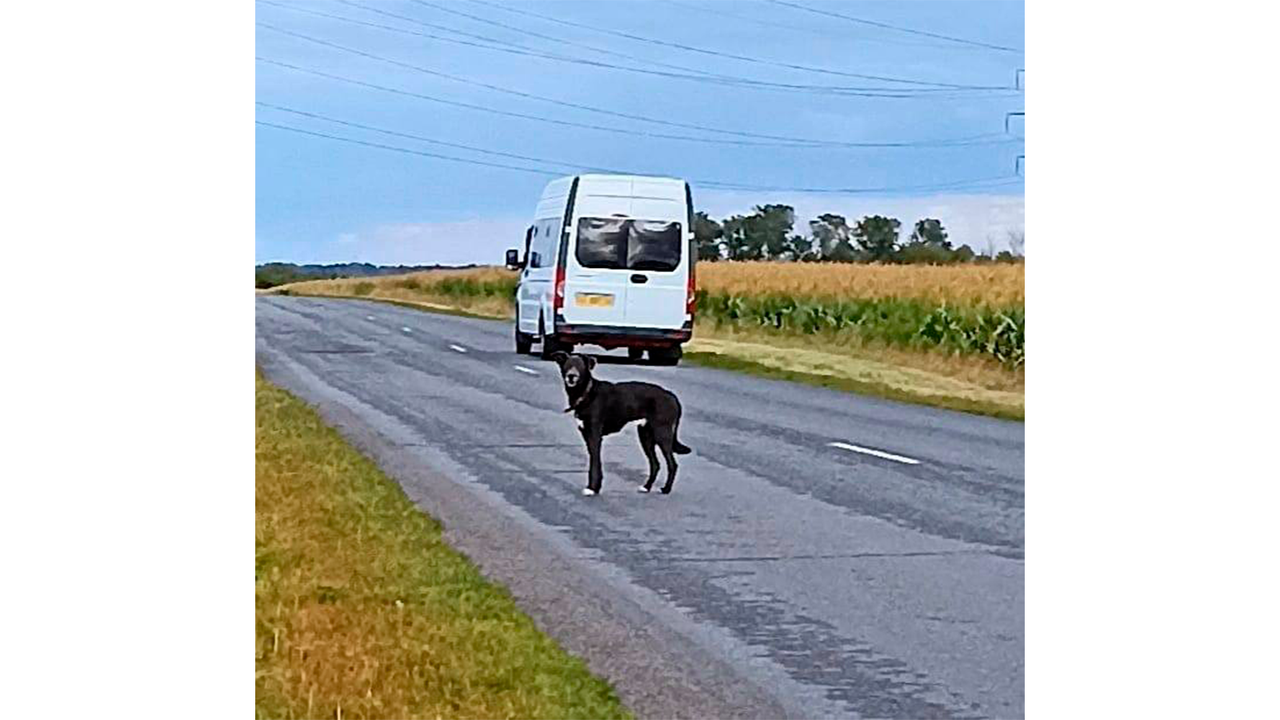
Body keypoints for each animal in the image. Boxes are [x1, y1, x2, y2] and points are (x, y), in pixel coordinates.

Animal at [550, 351, 691, 497]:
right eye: (567, 365)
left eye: (581, 366)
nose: (571, 376)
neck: (587, 392)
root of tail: (672, 397)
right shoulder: (587, 435)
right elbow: (594, 461)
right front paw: (596, 487)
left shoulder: (594, 436)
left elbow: (595, 463)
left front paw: (592, 488)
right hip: (645, 435)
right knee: (655, 464)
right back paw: (646, 487)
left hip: (662, 434)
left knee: (672, 464)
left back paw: (666, 489)